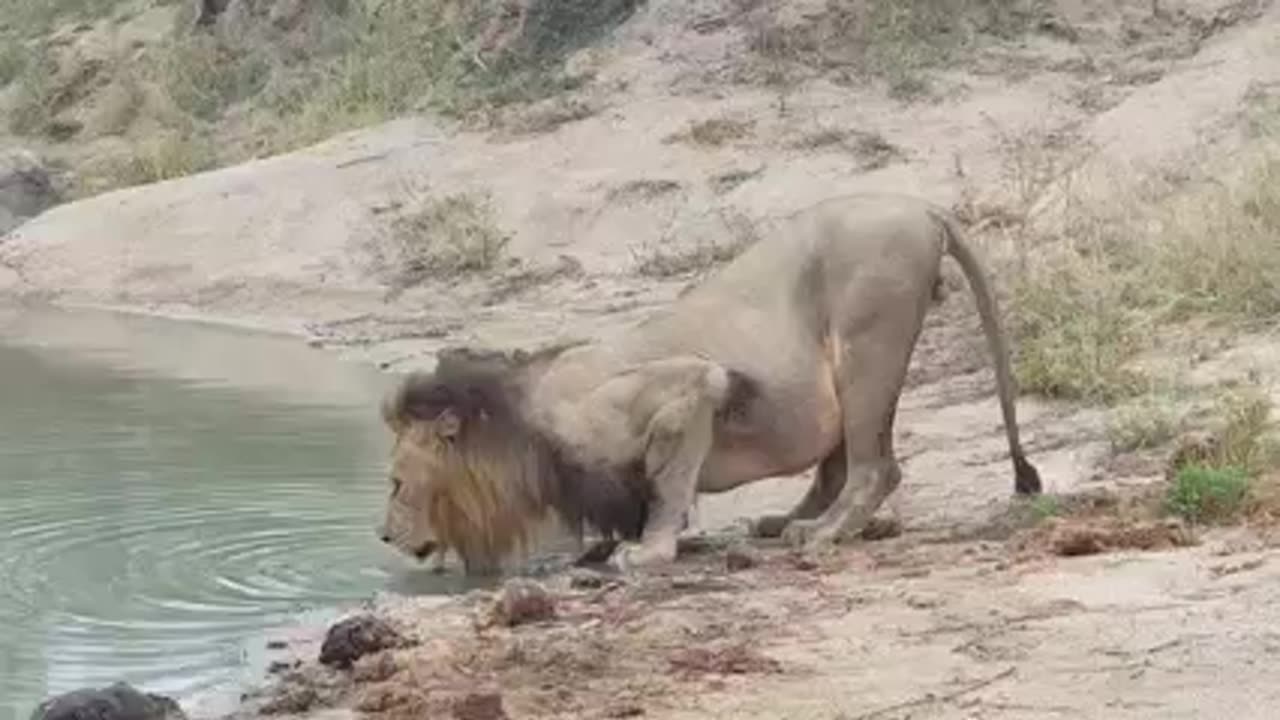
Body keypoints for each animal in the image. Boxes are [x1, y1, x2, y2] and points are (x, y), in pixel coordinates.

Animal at [376, 190, 1039, 571]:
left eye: (395, 483)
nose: (380, 537)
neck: (520, 430)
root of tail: (921, 205)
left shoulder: (687, 388)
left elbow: (669, 485)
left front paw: (648, 553)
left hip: (869, 338)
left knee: (876, 467)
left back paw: (822, 533)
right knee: (838, 465)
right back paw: (784, 522)